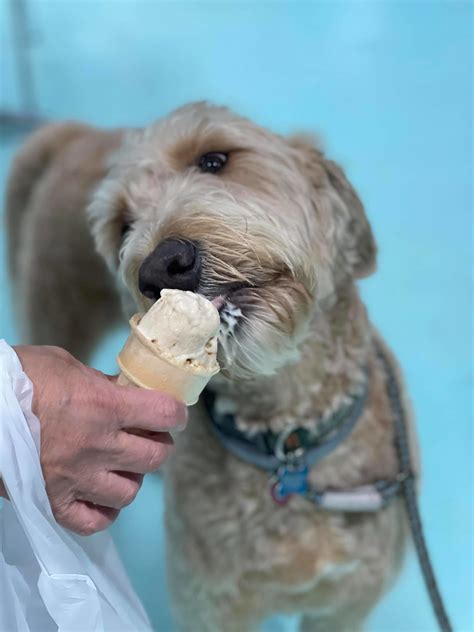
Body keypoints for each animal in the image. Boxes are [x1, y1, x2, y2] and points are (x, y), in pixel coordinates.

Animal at [5, 101, 416, 628]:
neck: (287, 442)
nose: (162, 265)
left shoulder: (348, 601)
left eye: (215, 160)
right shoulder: (208, 605)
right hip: (55, 311)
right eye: (123, 226)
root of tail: (77, 132)